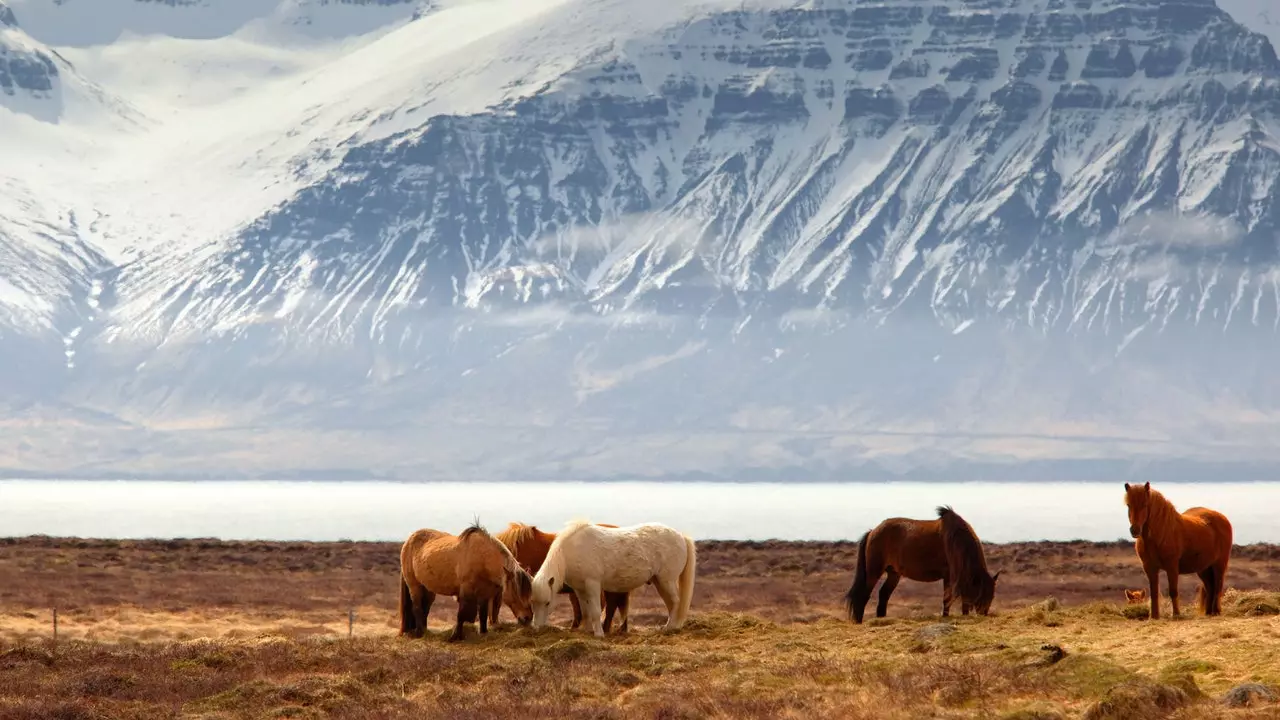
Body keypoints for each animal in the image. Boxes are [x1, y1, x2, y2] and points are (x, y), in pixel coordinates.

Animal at [396, 520, 532, 638]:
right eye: (517, 593)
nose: (528, 618)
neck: (482, 558)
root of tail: (408, 541)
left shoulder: (485, 594)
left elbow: (483, 615)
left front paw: (483, 633)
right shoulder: (466, 591)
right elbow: (461, 614)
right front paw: (455, 636)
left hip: (428, 589)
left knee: (425, 608)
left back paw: (425, 630)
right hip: (414, 586)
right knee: (417, 608)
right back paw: (420, 633)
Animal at [529, 520, 701, 632]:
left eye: (548, 602)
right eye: (532, 603)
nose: (536, 627)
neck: (571, 550)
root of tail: (681, 536)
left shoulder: (592, 584)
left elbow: (595, 611)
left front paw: (599, 634)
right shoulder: (580, 589)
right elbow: (586, 611)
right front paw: (587, 631)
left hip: (667, 581)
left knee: (676, 602)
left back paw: (670, 627)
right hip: (660, 582)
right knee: (671, 604)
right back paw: (670, 626)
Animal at [844, 504, 1003, 622]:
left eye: (993, 596)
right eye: (983, 594)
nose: (983, 614)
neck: (957, 540)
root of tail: (873, 531)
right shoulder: (950, 575)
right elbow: (947, 598)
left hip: (894, 573)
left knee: (884, 594)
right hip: (874, 571)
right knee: (864, 594)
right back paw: (859, 621)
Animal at [1126, 476, 1233, 617]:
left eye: (1145, 505)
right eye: (1128, 505)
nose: (1135, 530)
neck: (1160, 533)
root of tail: (1223, 518)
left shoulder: (1172, 566)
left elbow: (1173, 590)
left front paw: (1176, 614)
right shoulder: (1150, 568)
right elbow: (1154, 592)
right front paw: (1154, 616)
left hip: (1219, 564)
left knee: (1218, 586)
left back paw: (1216, 611)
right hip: (1204, 568)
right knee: (1210, 587)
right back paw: (1208, 612)